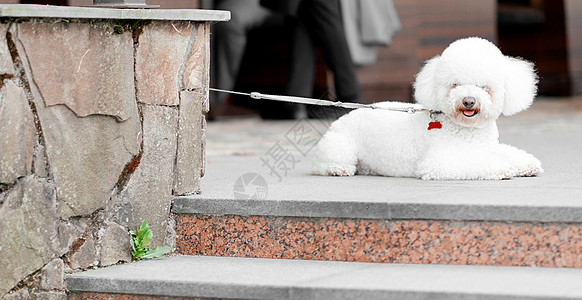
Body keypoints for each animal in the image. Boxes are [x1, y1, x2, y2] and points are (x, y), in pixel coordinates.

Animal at [312, 36, 544, 179]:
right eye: (455, 85)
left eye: (484, 87)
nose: (468, 101)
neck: (465, 129)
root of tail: (343, 117)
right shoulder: (440, 162)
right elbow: (484, 163)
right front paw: (506, 168)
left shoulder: (486, 147)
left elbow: (508, 153)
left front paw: (526, 164)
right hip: (340, 146)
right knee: (324, 164)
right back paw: (336, 168)